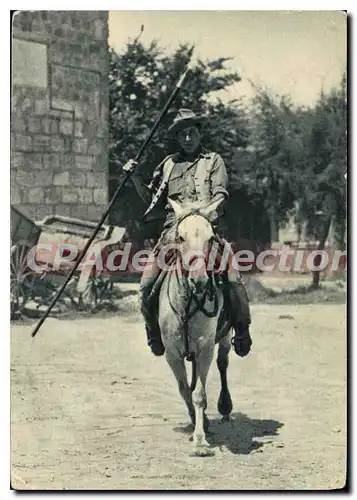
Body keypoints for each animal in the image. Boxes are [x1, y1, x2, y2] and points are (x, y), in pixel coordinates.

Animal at [158, 199, 231, 458]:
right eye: (180, 237)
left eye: (211, 238)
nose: (199, 281)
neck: (189, 301)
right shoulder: (172, 354)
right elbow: (184, 390)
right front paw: (197, 422)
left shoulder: (205, 349)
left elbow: (199, 394)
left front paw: (200, 440)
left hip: (225, 339)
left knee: (223, 364)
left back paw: (225, 407)